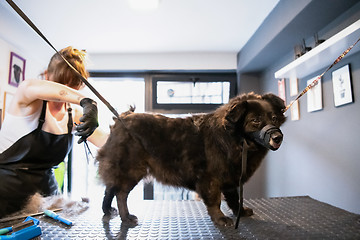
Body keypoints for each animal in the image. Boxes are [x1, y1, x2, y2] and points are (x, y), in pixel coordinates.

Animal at [97, 92, 286, 227]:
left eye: (274, 118)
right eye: (256, 120)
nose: (278, 137)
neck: (233, 139)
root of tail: (121, 118)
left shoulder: (231, 176)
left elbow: (234, 198)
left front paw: (240, 211)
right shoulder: (210, 179)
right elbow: (215, 201)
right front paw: (220, 218)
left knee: (110, 189)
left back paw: (108, 211)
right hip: (131, 170)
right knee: (120, 194)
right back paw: (126, 217)